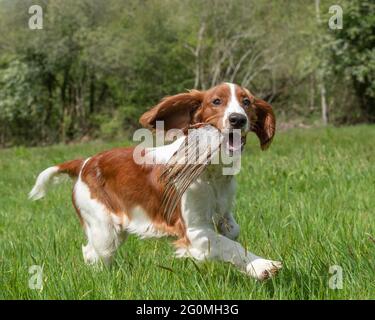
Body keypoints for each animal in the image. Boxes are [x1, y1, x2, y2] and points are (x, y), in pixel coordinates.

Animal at [29, 82, 282, 280]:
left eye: (247, 102)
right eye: (216, 101)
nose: (237, 119)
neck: (213, 172)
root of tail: (84, 162)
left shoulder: (222, 210)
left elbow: (232, 231)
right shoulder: (195, 231)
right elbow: (230, 246)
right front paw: (262, 266)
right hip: (104, 229)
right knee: (94, 253)